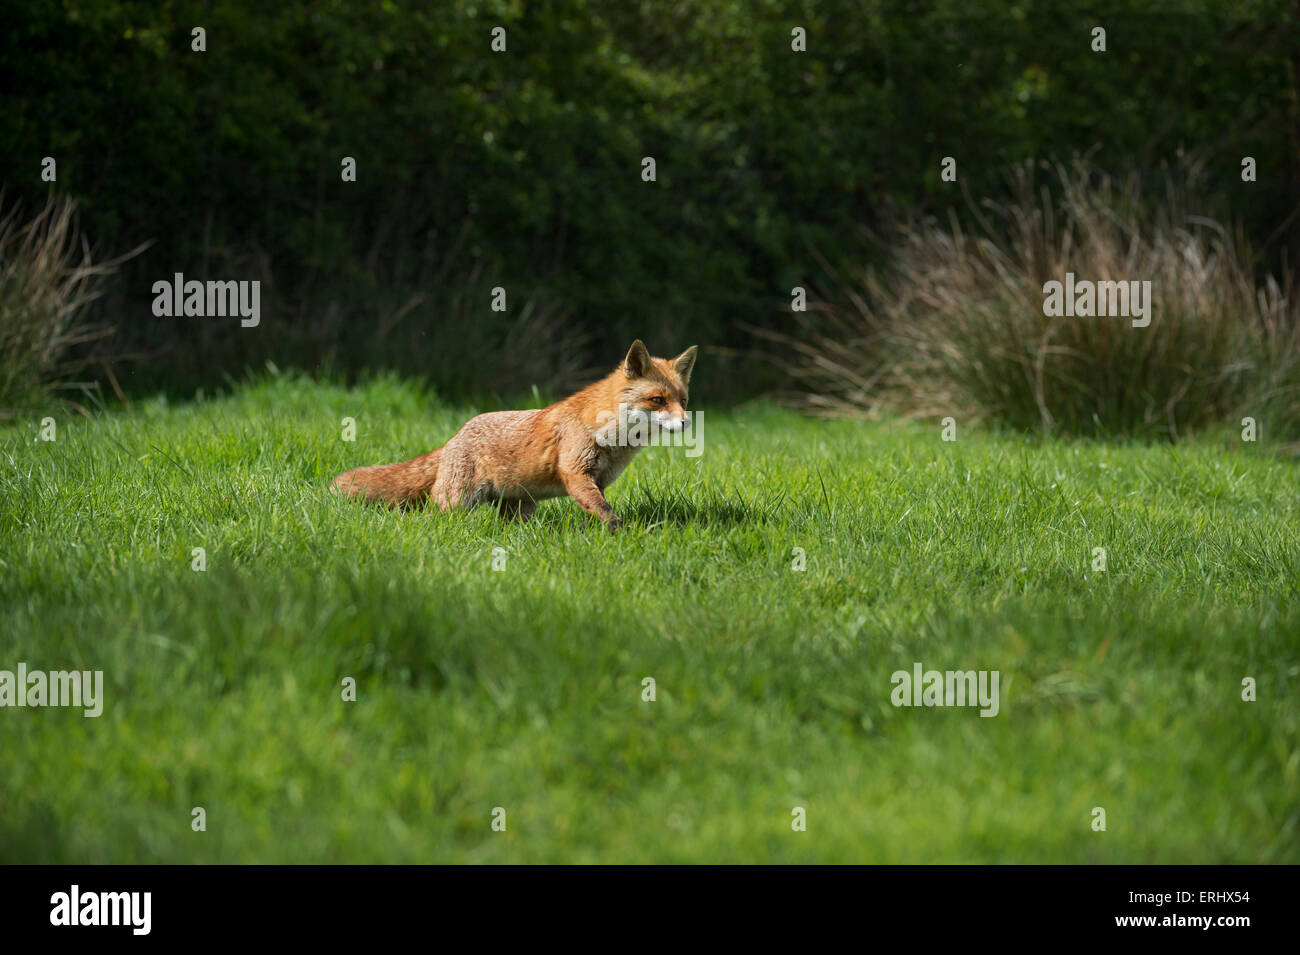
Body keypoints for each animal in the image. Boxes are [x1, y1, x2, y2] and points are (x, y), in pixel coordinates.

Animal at [331, 340, 697, 532]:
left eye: (683, 400)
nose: (687, 423)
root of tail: (454, 436)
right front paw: (625, 533)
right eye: (657, 400)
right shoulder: (576, 473)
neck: (614, 438)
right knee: (437, 519)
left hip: (520, 507)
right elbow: (606, 512)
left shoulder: (598, 481)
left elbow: (599, 510)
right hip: (458, 502)